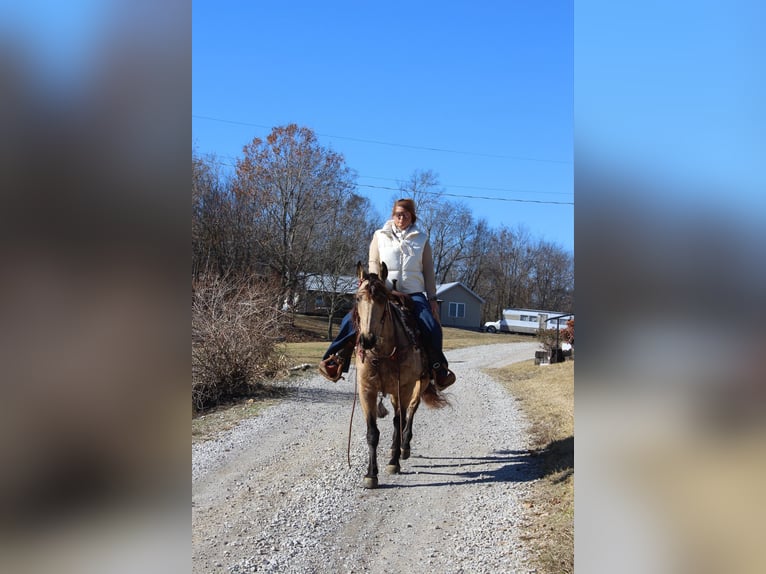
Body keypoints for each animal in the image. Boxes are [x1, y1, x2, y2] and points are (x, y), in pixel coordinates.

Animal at [352, 262, 448, 490]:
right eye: (358, 298)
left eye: (382, 299)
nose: (367, 340)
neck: (383, 353)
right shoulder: (367, 390)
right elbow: (372, 433)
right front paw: (371, 474)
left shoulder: (403, 387)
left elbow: (399, 420)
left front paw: (393, 462)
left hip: (419, 385)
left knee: (410, 412)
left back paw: (403, 447)